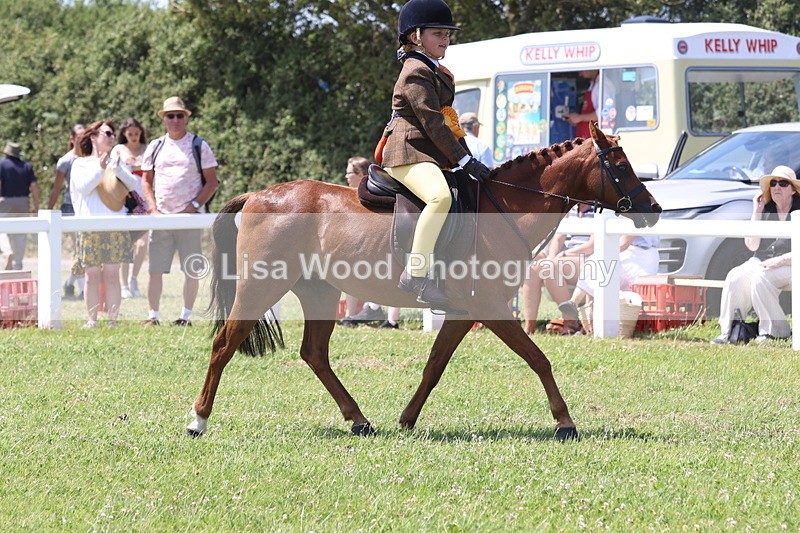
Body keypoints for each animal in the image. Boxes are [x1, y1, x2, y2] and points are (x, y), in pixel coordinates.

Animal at [187, 121, 661, 440]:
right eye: (620, 165)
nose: (653, 209)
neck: (504, 208)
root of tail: (259, 195)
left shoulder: (463, 312)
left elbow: (434, 366)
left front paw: (407, 419)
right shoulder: (490, 309)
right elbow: (539, 359)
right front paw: (565, 422)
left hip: (319, 291)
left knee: (314, 354)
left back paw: (359, 420)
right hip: (261, 286)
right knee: (224, 345)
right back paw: (198, 420)